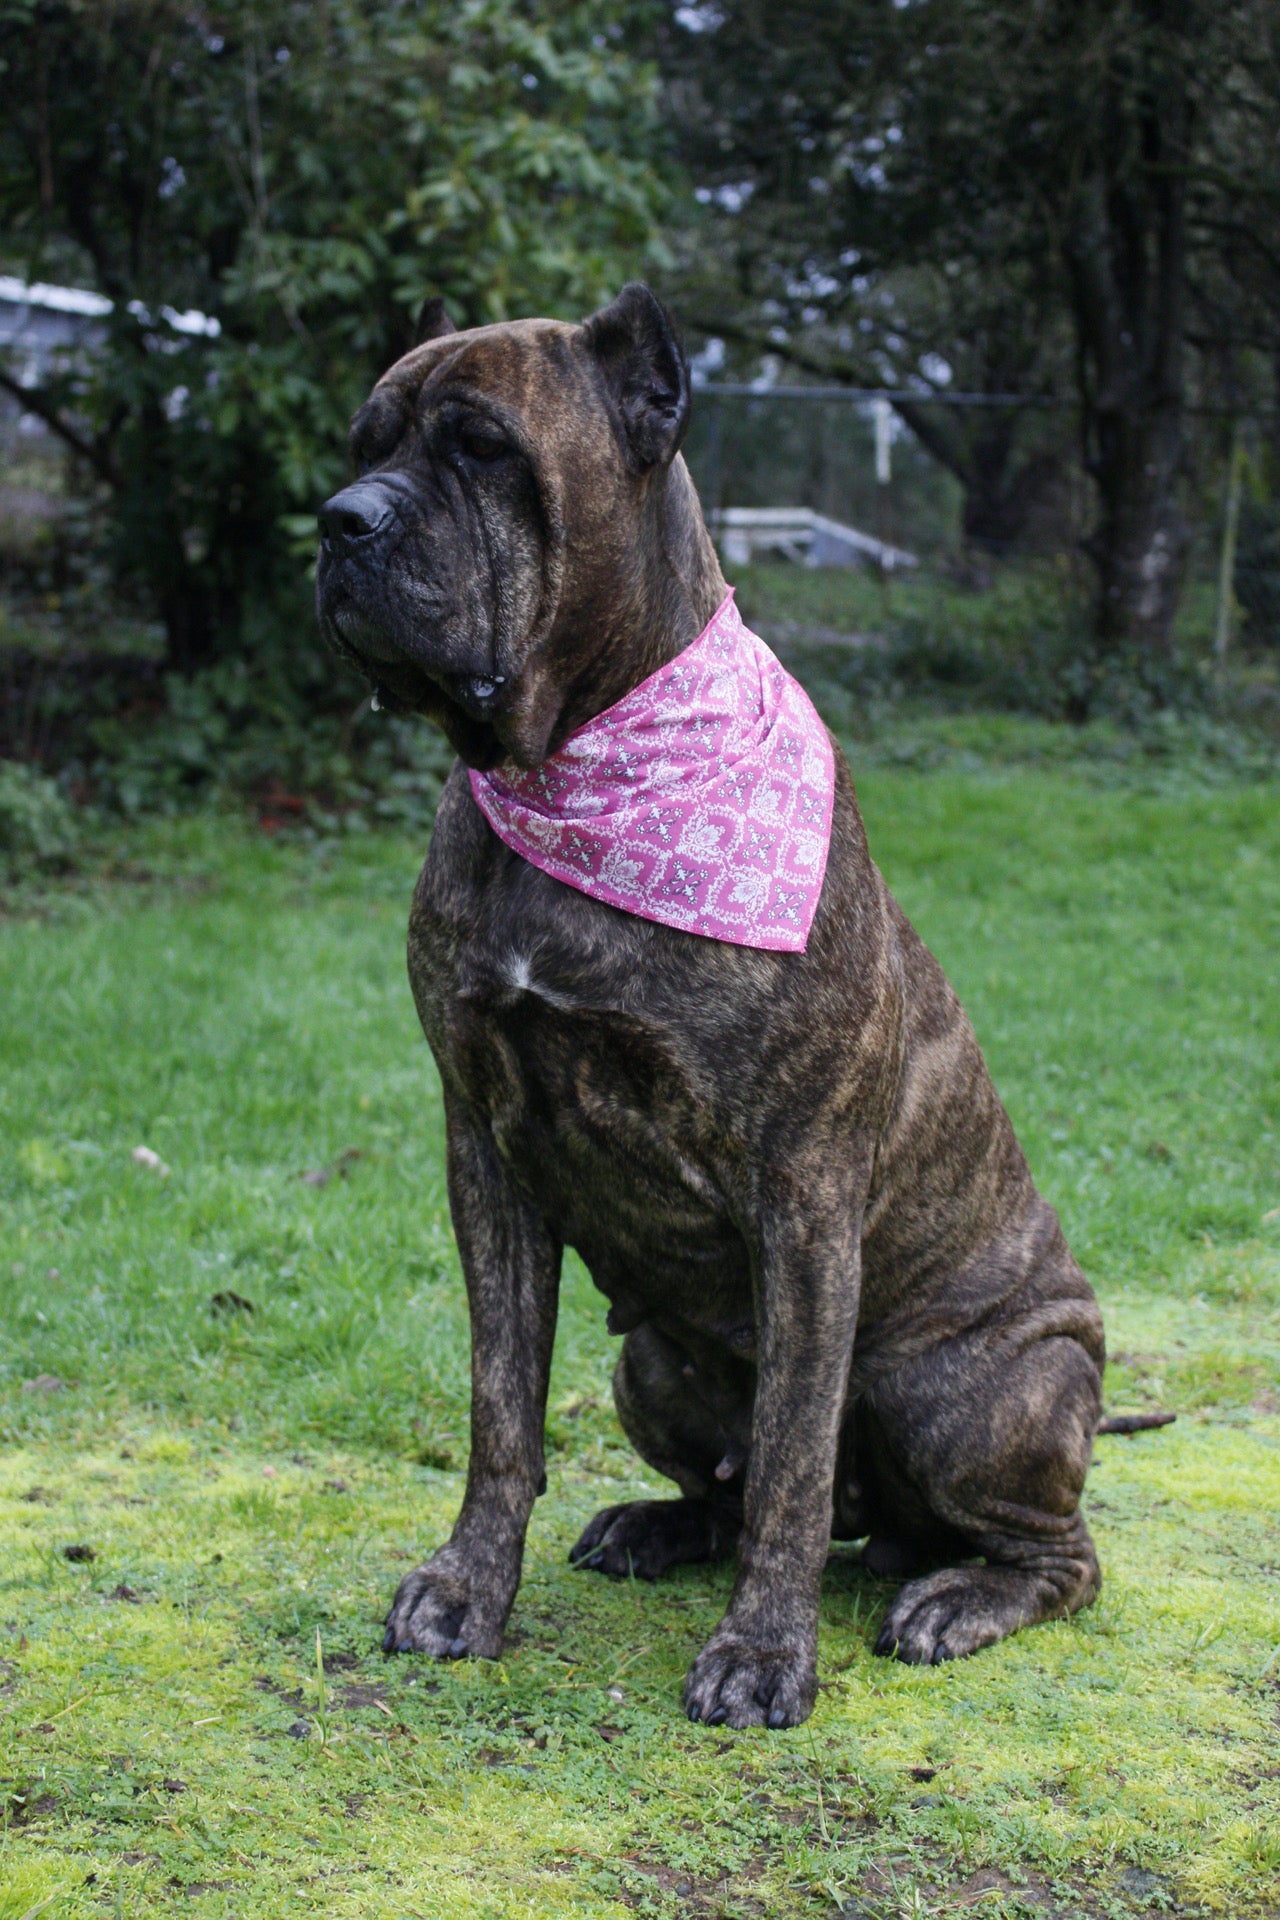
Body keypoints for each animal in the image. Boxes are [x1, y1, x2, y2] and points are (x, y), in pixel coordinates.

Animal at [314, 288, 1105, 1743]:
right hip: (656, 1362)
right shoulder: (484, 1151)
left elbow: (793, 1448)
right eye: (365, 444)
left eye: (483, 448)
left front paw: (762, 1654)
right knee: (730, 1490)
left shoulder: (802, 1191)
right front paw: (468, 1587)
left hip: (962, 1392)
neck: (573, 761)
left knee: (1042, 1552)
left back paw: (956, 1597)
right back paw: (652, 1526)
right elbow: (503, 1409)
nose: (342, 521)